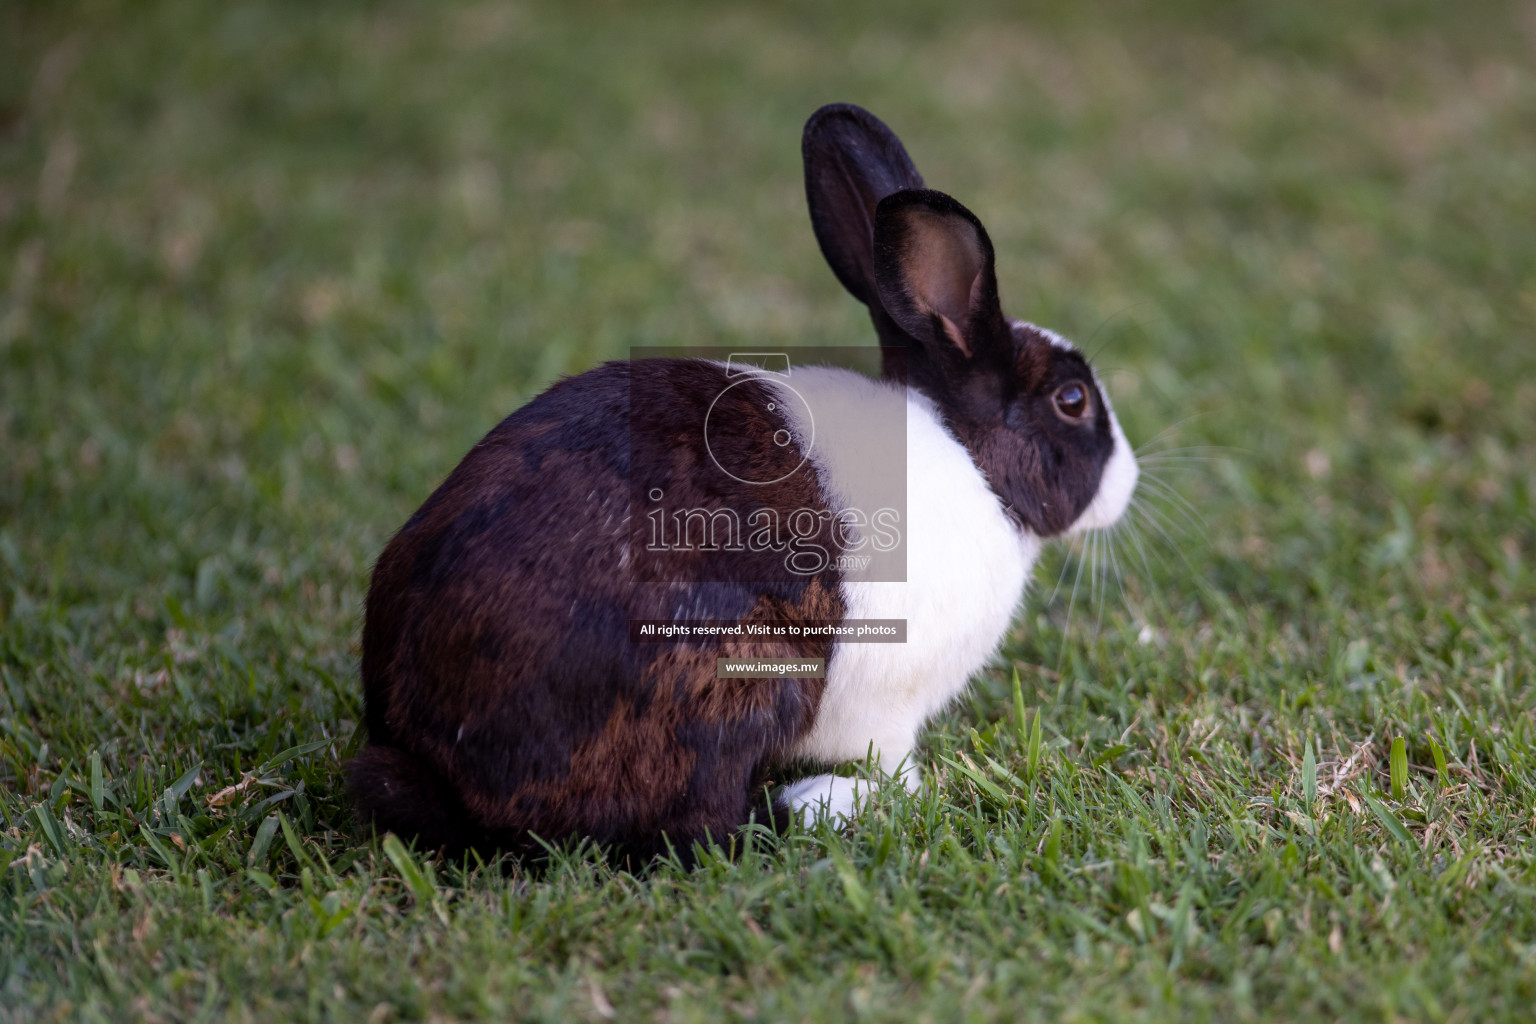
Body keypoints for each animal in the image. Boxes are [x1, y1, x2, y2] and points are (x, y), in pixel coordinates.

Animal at [351, 104, 1142, 859]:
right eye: (1072, 400)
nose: (1130, 480)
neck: (970, 455)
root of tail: (431, 763)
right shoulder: (888, 704)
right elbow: (893, 761)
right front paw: (900, 790)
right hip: (741, 677)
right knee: (701, 827)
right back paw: (823, 804)